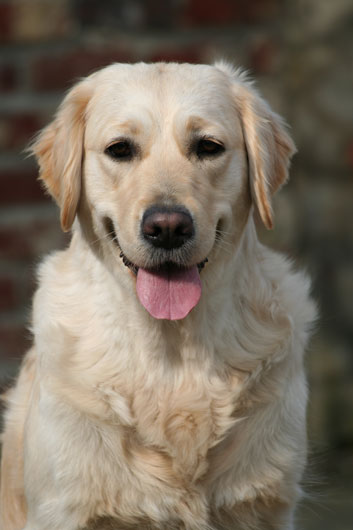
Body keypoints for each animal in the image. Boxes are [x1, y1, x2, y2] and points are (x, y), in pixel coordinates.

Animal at [0, 59, 314, 524]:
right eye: (119, 149)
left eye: (208, 146)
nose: (167, 227)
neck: (172, 355)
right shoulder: (63, 507)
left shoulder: (266, 504)